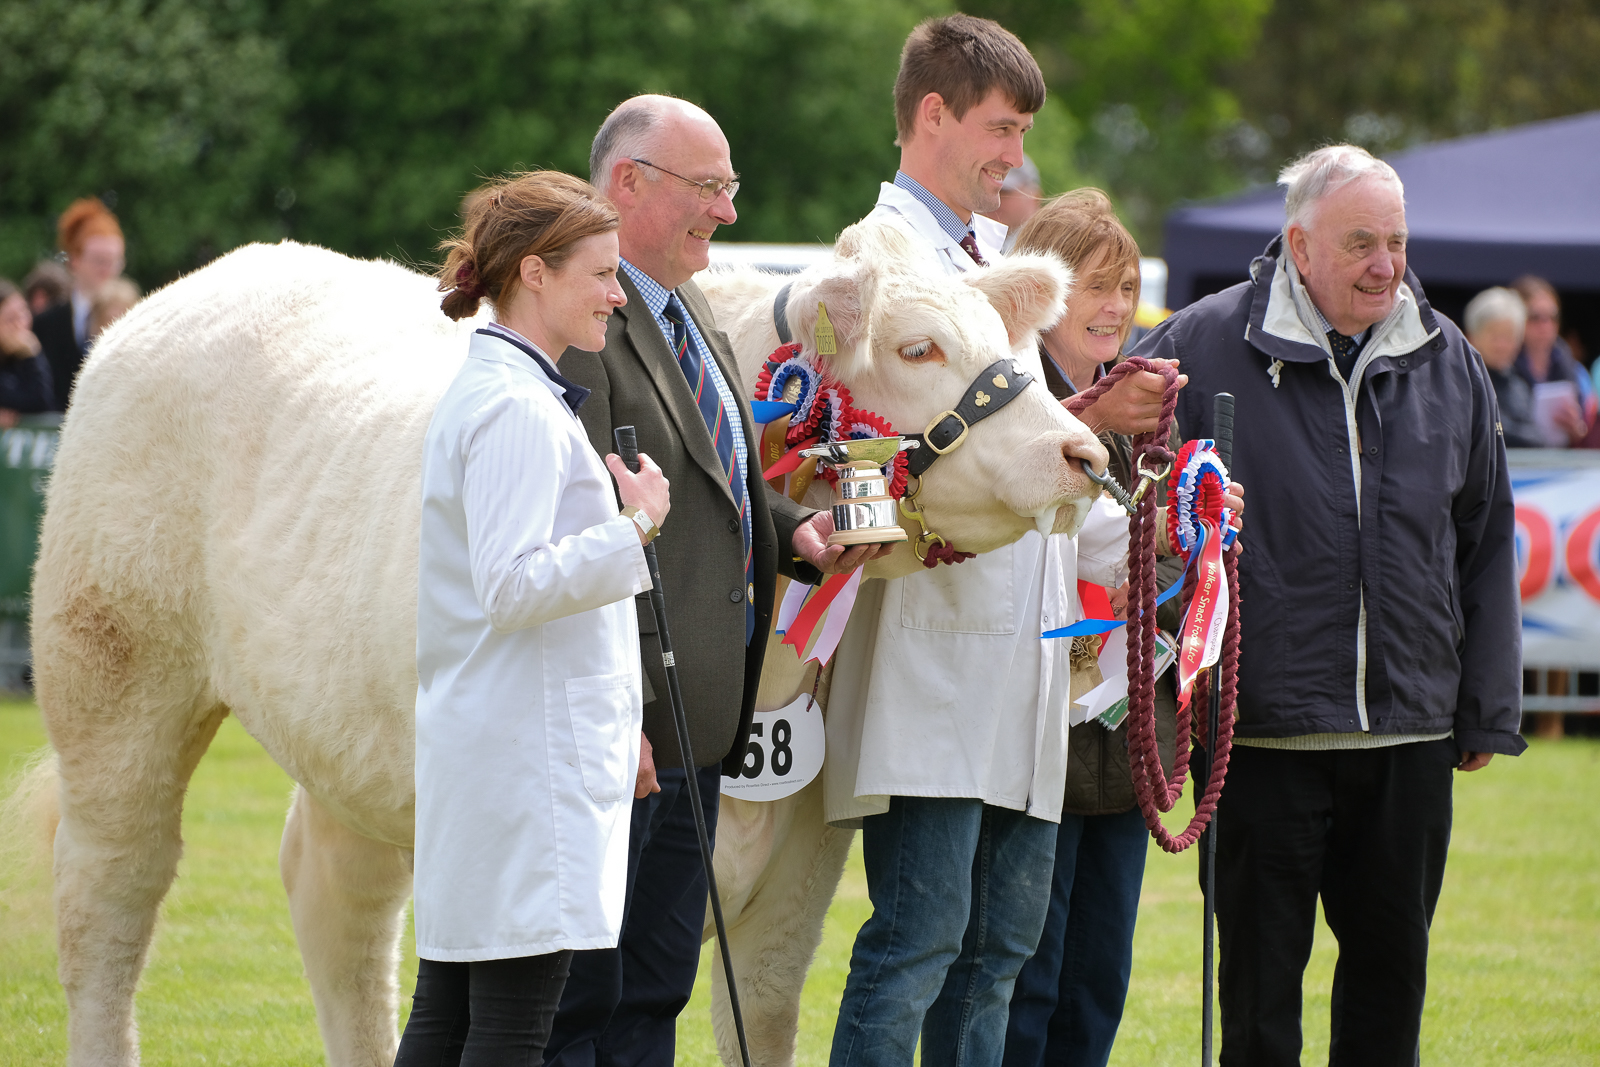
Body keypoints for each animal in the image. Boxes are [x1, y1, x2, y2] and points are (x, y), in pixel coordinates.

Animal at [31, 219, 1100, 1067]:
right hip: (113, 668)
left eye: (1006, 339)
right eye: (919, 347)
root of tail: (203, 283)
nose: (1083, 453)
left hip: (356, 734)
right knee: (107, 894)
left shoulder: (800, 852)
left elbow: (758, 1011)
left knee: (338, 899)